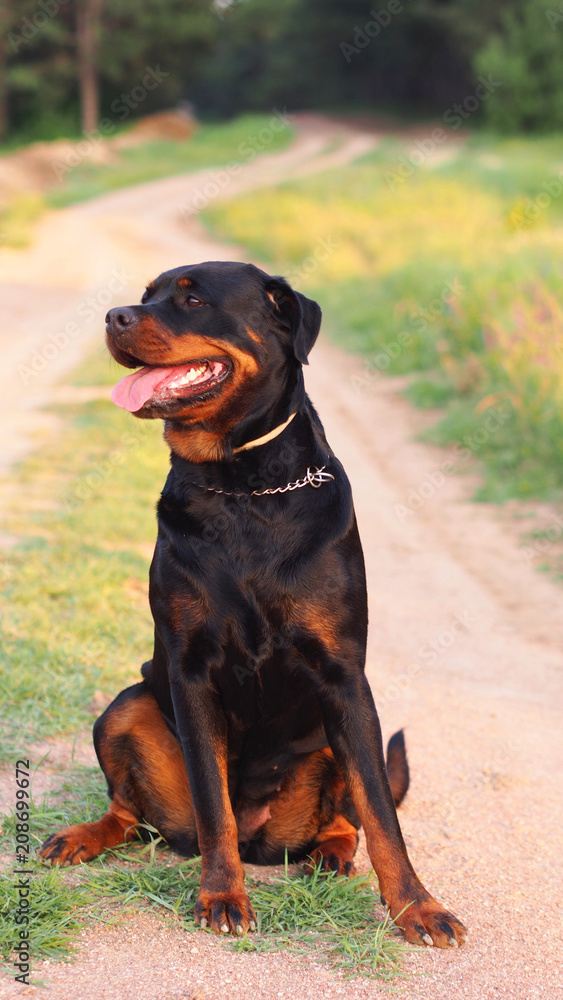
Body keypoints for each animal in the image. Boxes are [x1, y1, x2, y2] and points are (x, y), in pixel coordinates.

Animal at [40, 262, 468, 948]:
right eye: (146, 295)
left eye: (192, 299)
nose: (114, 316)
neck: (242, 483)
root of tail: (263, 838)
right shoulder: (190, 670)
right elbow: (214, 805)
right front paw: (222, 895)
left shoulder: (345, 680)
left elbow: (382, 815)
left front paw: (417, 907)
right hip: (125, 707)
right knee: (132, 814)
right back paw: (85, 836)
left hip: (331, 737)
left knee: (346, 816)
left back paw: (329, 854)